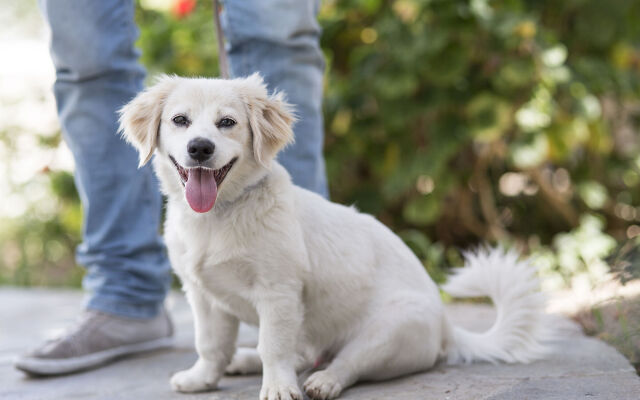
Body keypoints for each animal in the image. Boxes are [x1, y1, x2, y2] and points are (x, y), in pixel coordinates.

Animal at [120, 76, 556, 400]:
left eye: (226, 123)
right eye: (180, 120)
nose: (199, 148)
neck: (218, 217)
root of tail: (448, 329)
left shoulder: (278, 293)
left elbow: (273, 346)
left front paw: (278, 388)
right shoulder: (204, 296)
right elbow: (210, 345)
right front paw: (203, 378)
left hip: (388, 333)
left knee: (346, 364)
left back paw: (322, 381)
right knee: (301, 353)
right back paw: (243, 360)